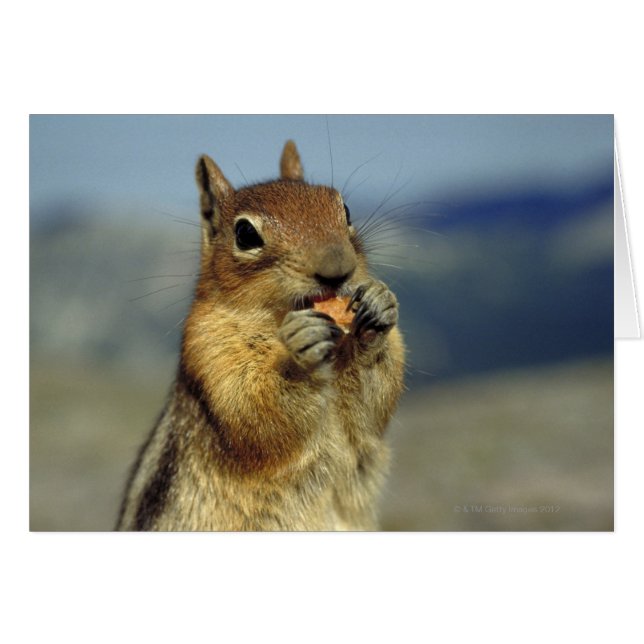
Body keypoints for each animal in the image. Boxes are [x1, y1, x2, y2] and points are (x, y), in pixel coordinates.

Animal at [116, 140, 405, 531]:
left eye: (344, 209)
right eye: (246, 234)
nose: (337, 268)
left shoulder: (362, 425)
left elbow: (372, 407)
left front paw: (378, 307)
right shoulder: (210, 354)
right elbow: (257, 412)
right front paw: (299, 355)